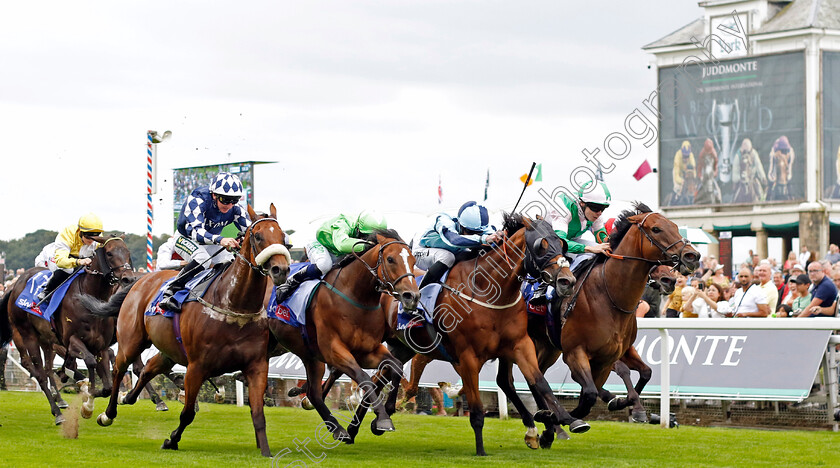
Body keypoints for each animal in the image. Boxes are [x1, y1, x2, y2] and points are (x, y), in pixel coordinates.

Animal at [0, 236, 136, 422]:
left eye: (128, 252)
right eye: (109, 253)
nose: (129, 279)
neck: (90, 300)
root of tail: (14, 284)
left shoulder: (100, 345)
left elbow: (107, 384)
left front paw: (92, 395)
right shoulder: (72, 341)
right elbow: (89, 362)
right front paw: (88, 401)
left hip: (46, 339)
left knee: (48, 369)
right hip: (26, 335)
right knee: (39, 372)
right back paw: (57, 412)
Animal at [81, 206, 290, 458]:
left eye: (283, 237)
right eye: (258, 236)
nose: (281, 269)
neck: (233, 305)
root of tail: (140, 279)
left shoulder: (257, 365)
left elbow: (258, 414)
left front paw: (266, 452)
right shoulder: (197, 367)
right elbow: (188, 412)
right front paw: (171, 440)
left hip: (169, 351)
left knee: (148, 369)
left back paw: (129, 397)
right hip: (131, 342)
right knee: (120, 370)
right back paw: (107, 414)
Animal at [268, 229, 418, 442]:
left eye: (413, 260)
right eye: (390, 259)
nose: (412, 296)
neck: (356, 297)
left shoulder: (367, 350)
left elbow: (395, 366)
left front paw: (387, 411)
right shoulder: (334, 351)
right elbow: (364, 378)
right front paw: (382, 418)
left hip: (307, 355)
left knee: (314, 393)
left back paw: (337, 428)